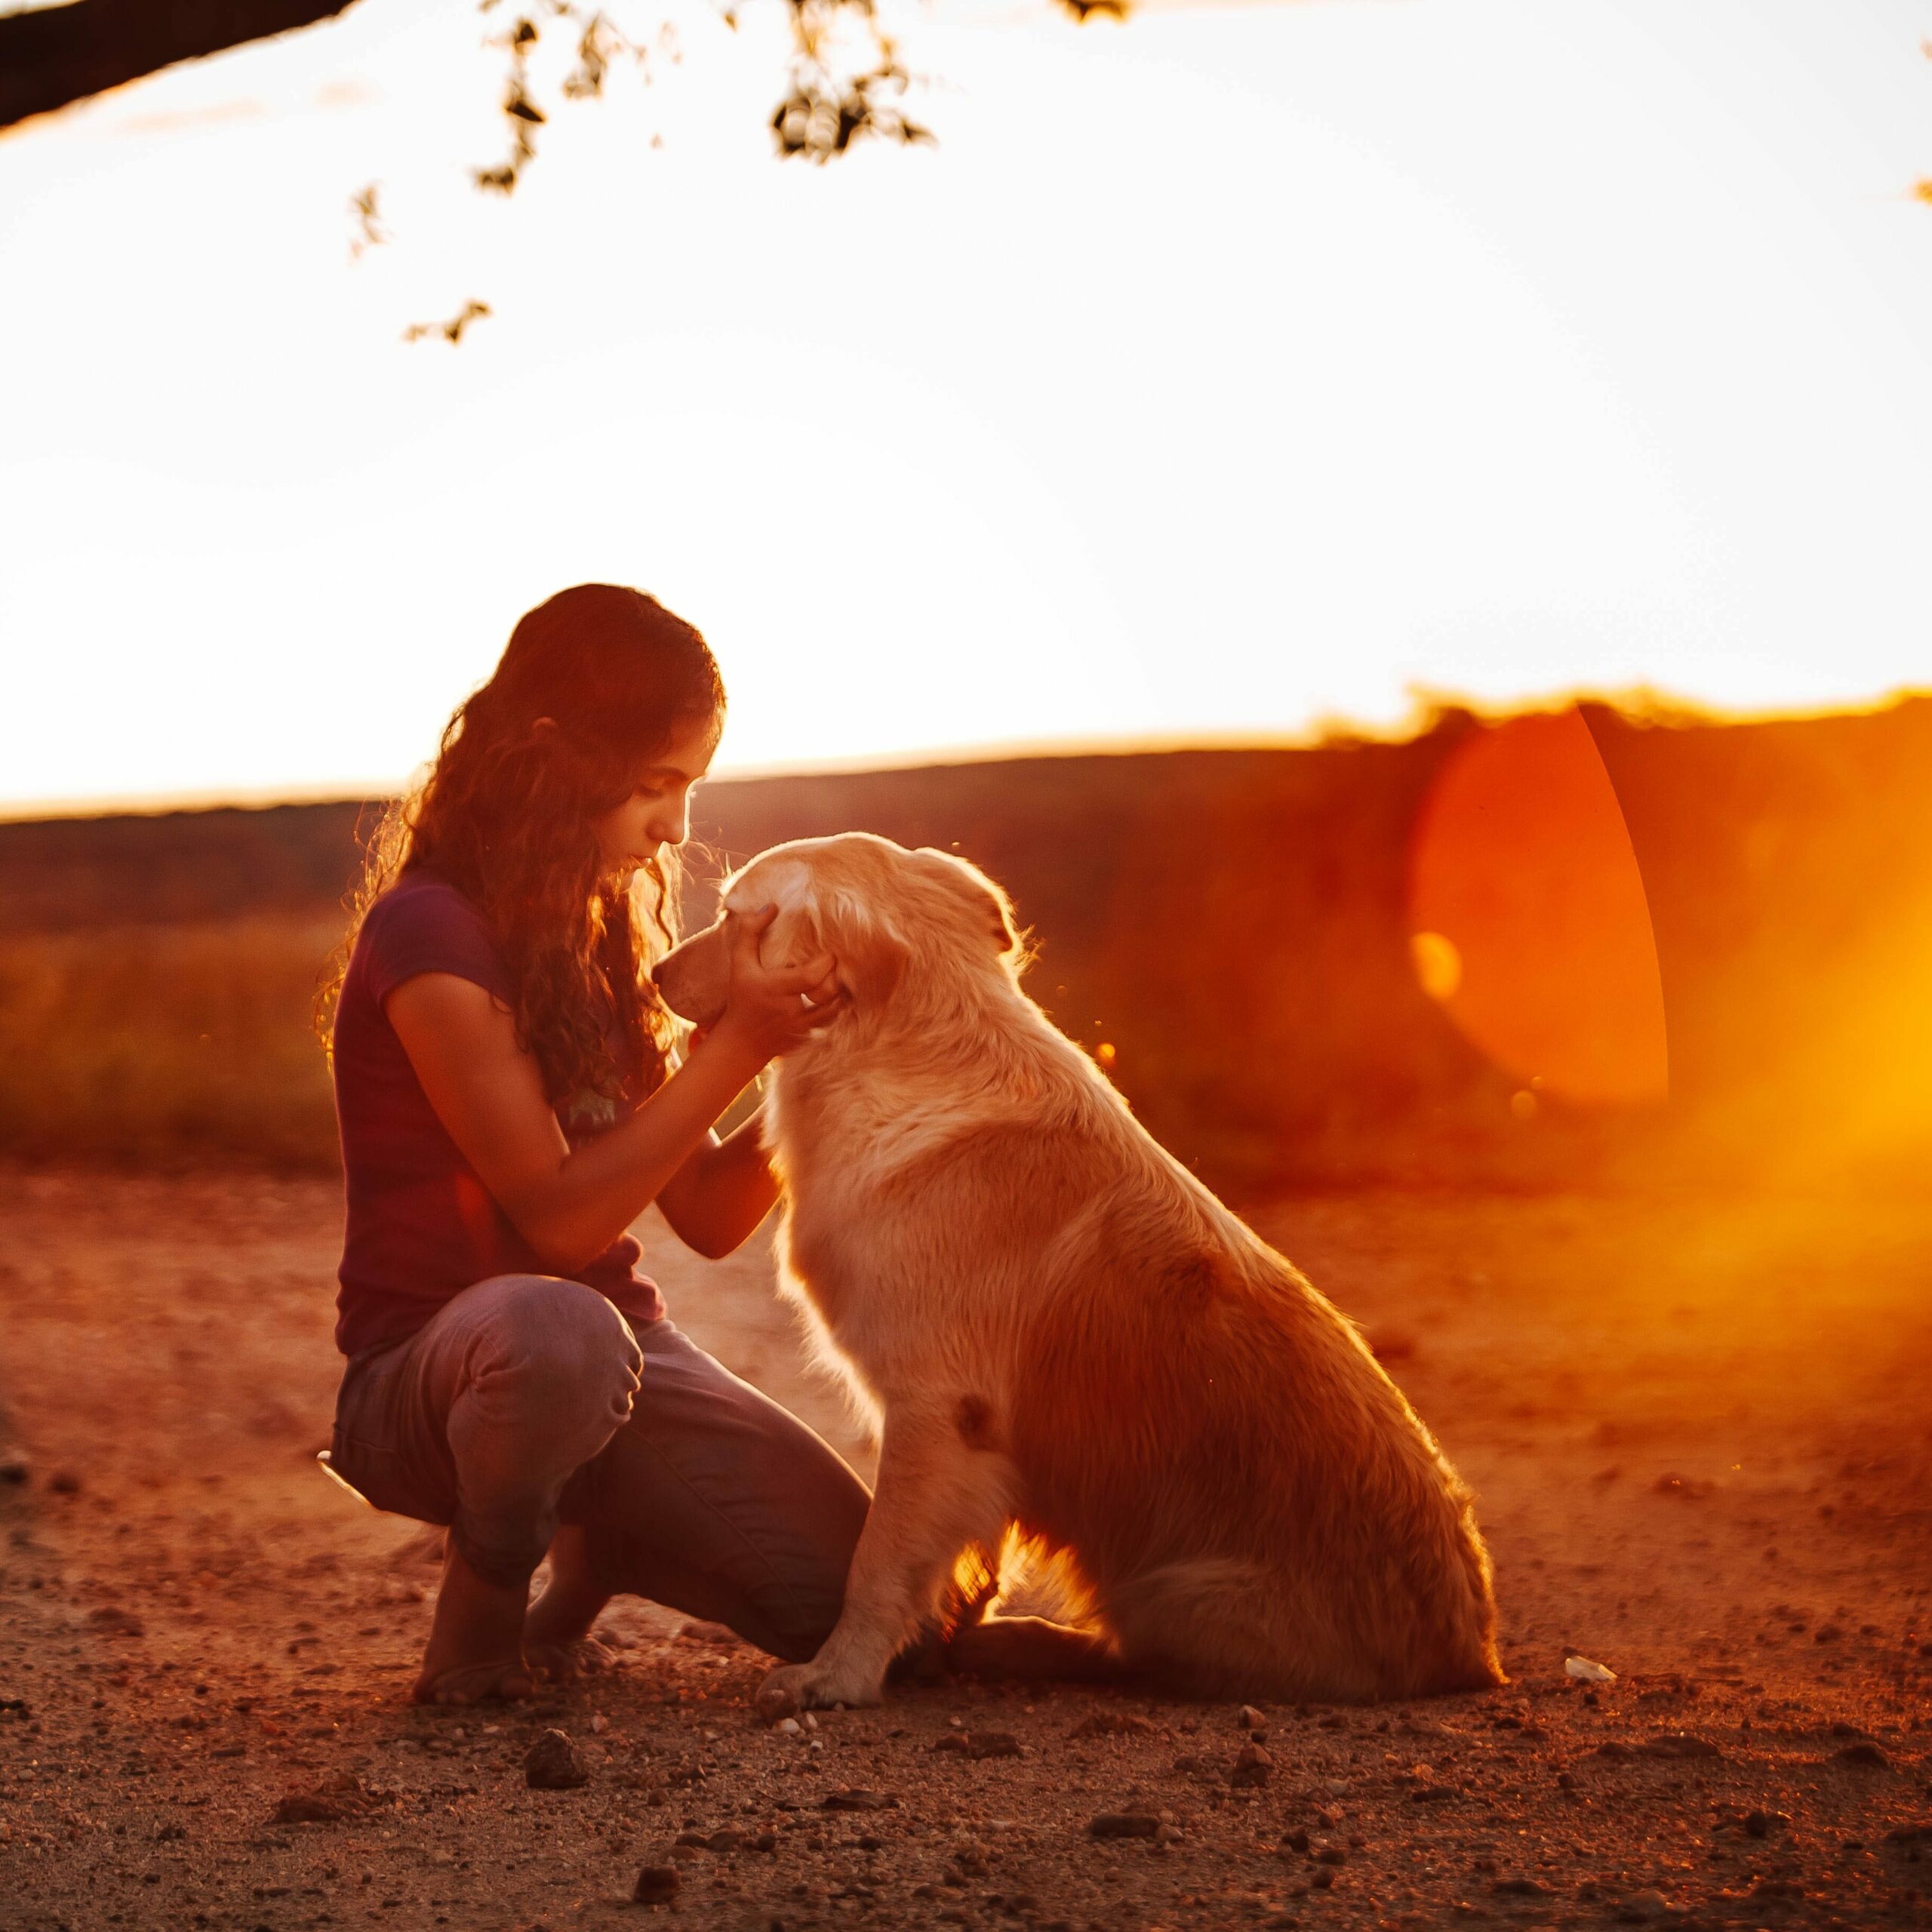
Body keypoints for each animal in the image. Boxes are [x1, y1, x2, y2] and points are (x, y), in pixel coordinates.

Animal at [657, 838, 1499, 1715]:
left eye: (733, 915)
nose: (654, 974)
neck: (902, 1051)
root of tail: (1471, 1657)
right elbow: (961, 1565)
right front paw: (928, 1646)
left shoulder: (936, 1408)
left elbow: (878, 1560)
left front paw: (838, 1674)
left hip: (1173, 1591)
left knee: (1137, 1660)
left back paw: (1025, 1644)